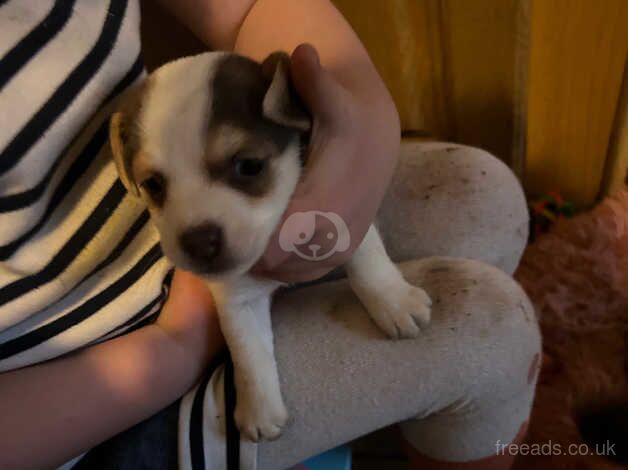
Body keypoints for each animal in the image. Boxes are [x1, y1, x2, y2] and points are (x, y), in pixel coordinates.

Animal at [109, 50, 432, 440]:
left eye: (249, 165)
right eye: (153, 185)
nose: (199, 242)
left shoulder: (346, 208)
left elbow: (366, 259)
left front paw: (393, 301)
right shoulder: (237, 299)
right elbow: (248, 349)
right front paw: (259, 408)